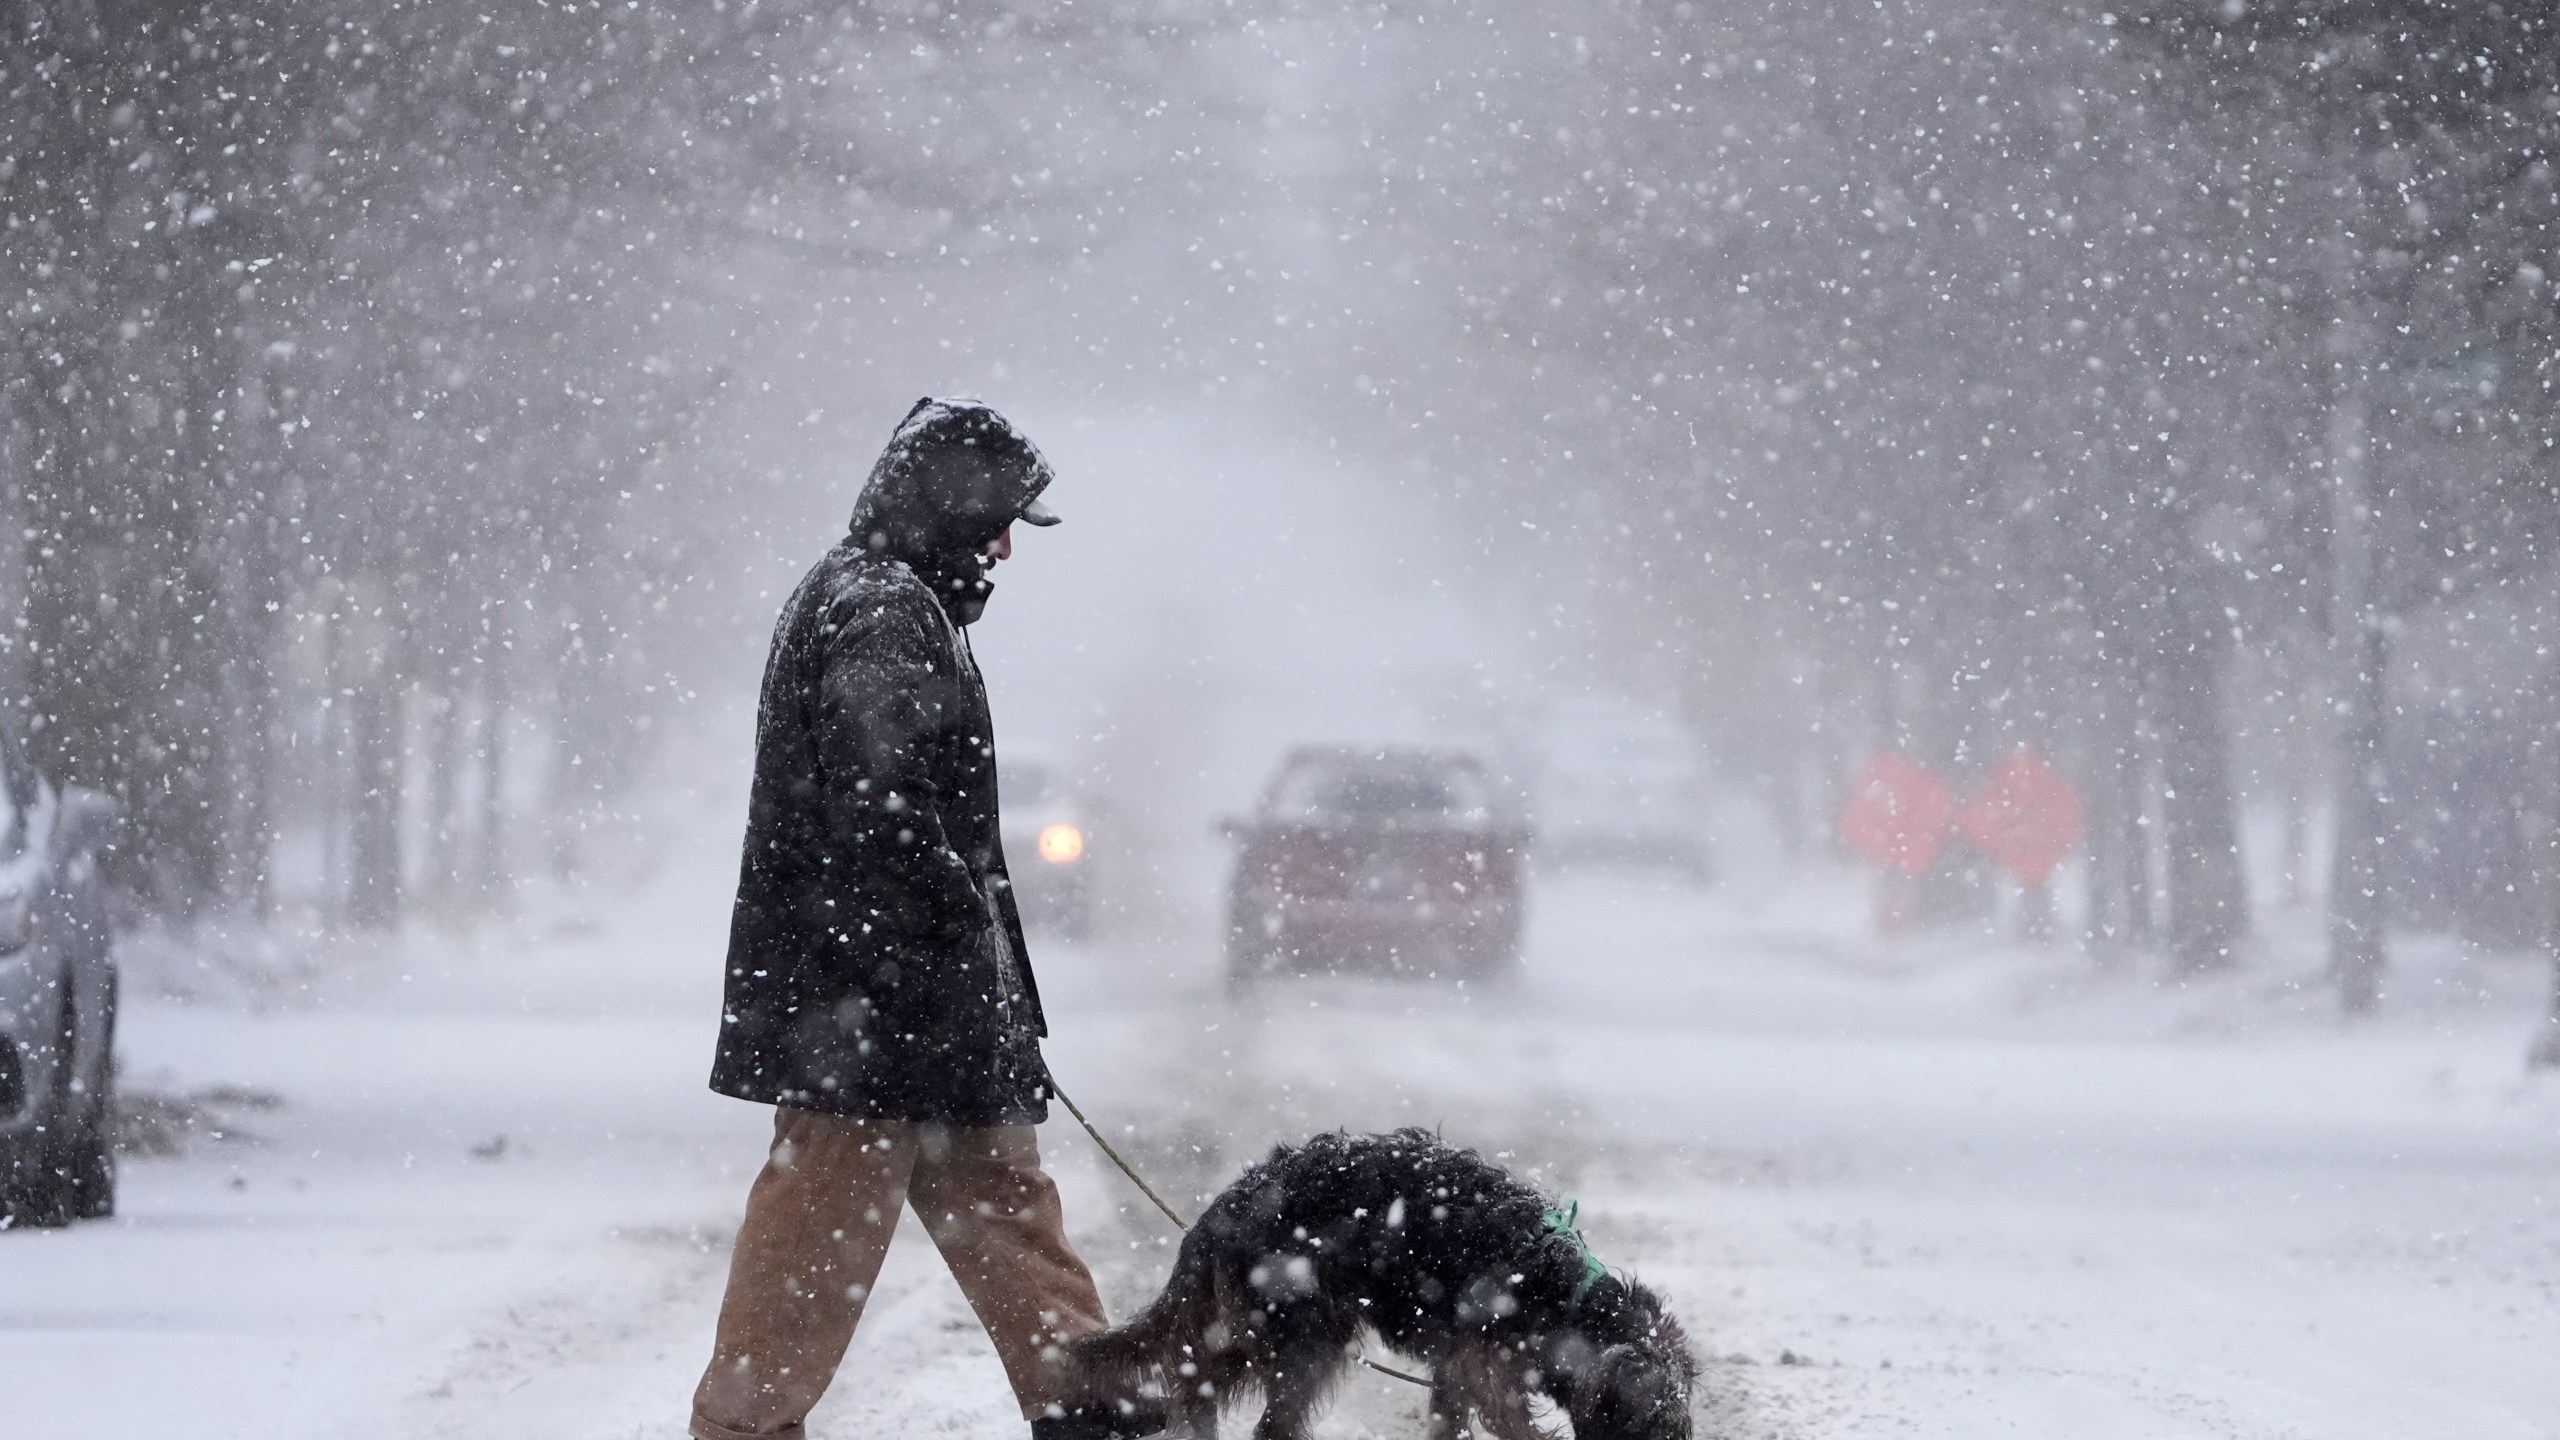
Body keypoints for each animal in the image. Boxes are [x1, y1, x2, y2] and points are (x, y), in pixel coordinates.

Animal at [1080, 1127, 1699, 1434]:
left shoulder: (1457, 1374)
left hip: (1253, 1328)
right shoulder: (1489, 1376)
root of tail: (1222, 1210)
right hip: (1303, 1336)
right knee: (1261, 1420)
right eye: (1653, 1423)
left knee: (1194, 1386)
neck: (1564, 1296)